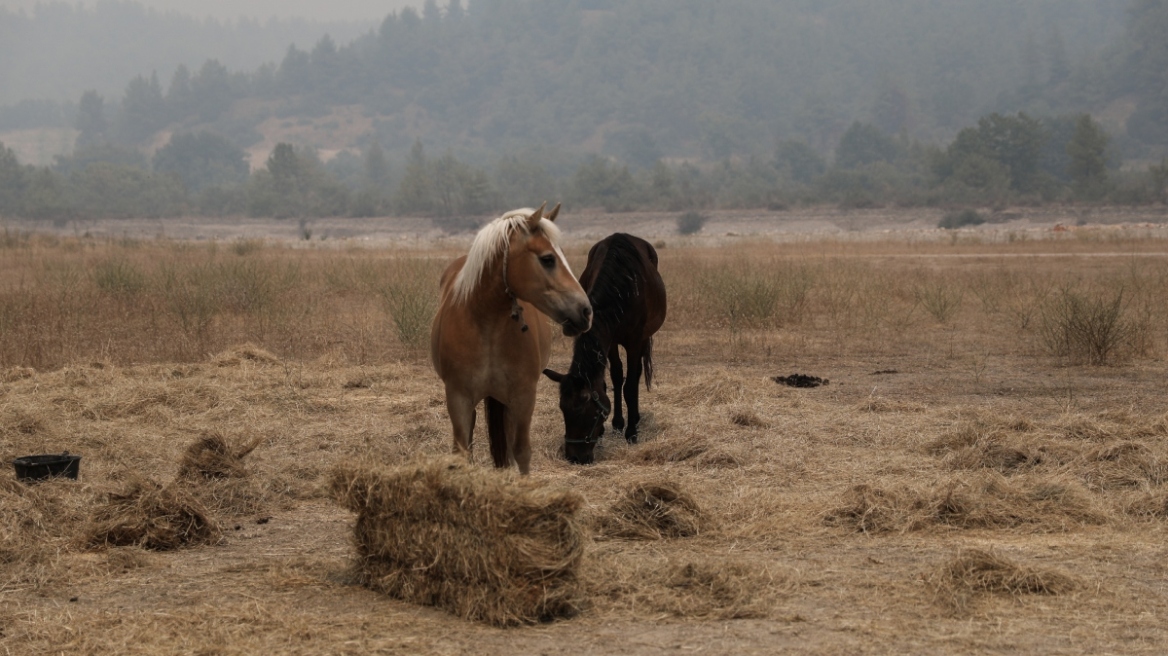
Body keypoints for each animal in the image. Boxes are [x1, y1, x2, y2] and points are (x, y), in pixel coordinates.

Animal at [429, 203, 593, 469]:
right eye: (548, 259)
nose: (586, 312)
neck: (487, 326)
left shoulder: (523, 397)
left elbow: (521, 451)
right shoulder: (458, 398)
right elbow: (462, 452)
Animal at [539, 232, 663, 462]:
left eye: (585, 411)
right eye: (562, 409)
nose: (575, 457)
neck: (622, 288)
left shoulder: (634, 341)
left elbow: (630, 386)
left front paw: (631, 433)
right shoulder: (610, 340)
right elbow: (614, 378)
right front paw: (614, 425)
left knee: (637, 375)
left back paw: (635, 418)